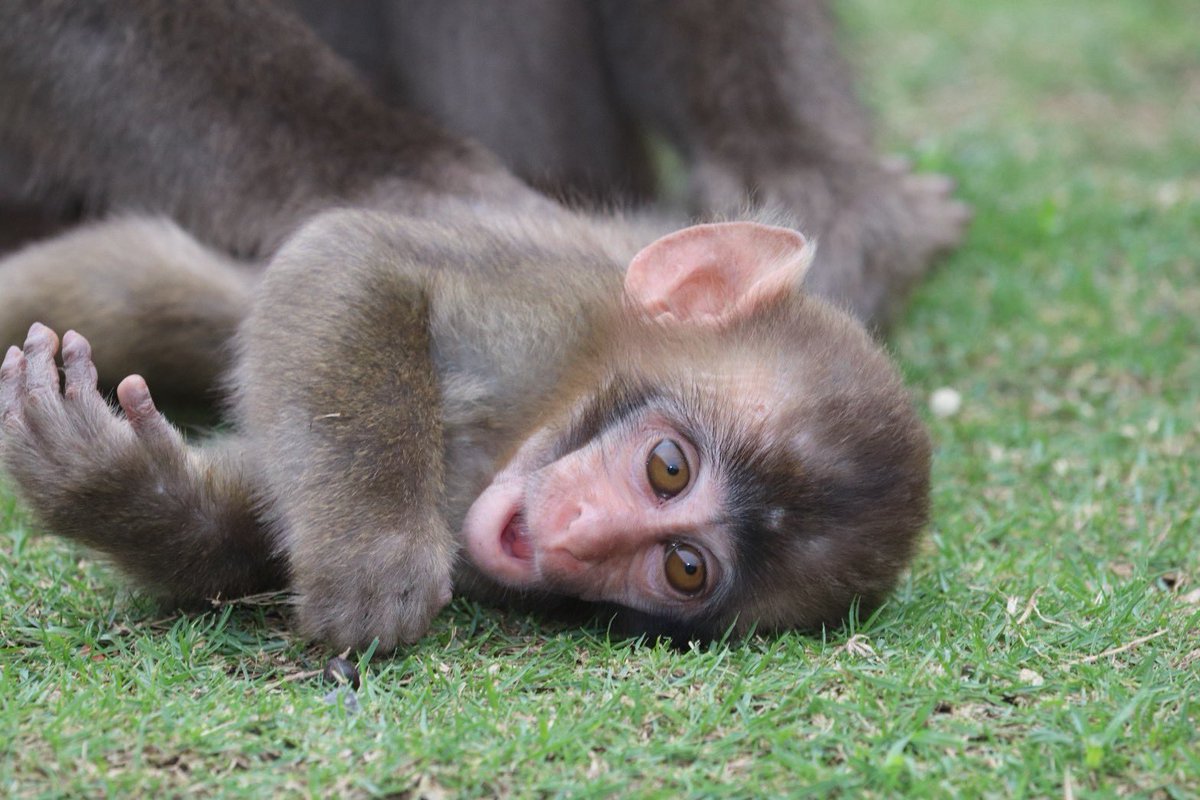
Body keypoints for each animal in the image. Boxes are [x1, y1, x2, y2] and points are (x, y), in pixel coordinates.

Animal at [0, 209, 931, 652]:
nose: (583, 535)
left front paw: (121, 491)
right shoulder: (543, 312)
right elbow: (351, 259)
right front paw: (373, 552)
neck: (538, 411)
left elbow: (250, 524)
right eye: (669, 466)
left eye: (684, 568)